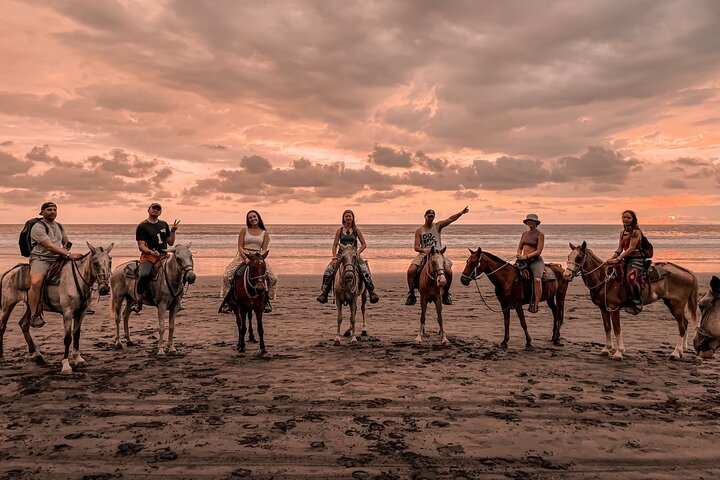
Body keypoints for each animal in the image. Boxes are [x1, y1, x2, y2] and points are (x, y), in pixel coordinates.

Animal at [0, 244, 114, 376]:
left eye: (110, 262)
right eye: (95, 263)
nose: (105, 289)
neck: (77, 279)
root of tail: (9, 272)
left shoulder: (81, 313)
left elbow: (77, 335)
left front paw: (78, 359)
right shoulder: (67, 313)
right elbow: (67, 338)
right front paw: (66, 365)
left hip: (31, 307)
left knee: (23, 325)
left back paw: (37, 355)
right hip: (8, 304)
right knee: (2, 326)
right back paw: (2, 356)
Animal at [564, 242, 696, 362]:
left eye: (579, 257)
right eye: (569, 256)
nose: (566, 275)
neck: (605, 279)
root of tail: (687, 272)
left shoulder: (613, 308)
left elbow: (617, 329)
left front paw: (618, 352)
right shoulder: (603, 308)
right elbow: (607, 327)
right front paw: (606, 349)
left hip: (676, 305)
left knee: (682, 326)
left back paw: (676, 352)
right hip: (671, 304)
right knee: (685, 322)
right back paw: (682, 350)